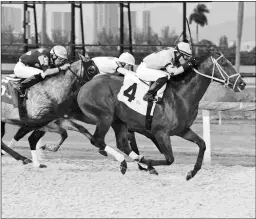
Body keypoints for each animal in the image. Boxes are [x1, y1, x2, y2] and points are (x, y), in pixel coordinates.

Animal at [74, 49, 246, 180]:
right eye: (224, 63)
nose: (242, 83)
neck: (181, 95)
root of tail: (85, 86)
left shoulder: (182, 130)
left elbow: (202, 144)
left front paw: (192, 172)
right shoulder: (161, 132)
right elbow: (169, 159)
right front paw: (149, 162)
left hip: (119, 121)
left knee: (121, 143)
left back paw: (132, 161)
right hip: (105, 116)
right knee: (97, 140)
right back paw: (130, 161)